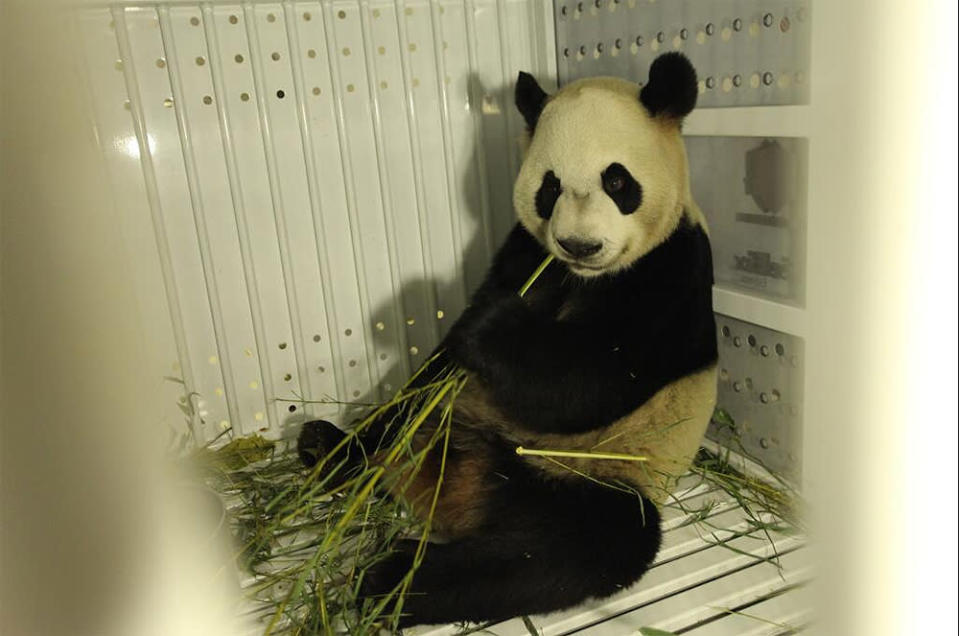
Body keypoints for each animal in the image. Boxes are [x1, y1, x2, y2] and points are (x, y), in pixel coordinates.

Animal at [296, 52, 716, 628]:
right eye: (550, 186)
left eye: (617, 181)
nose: (578, 244)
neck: (581, 277)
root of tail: (452, 486)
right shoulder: (524, 251)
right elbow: (460, 342)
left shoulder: (670, 274)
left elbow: (588, 383)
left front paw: (487, 327)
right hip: (445, 412)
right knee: (404, 410)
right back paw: (326, 447)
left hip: (588, 475)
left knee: (571, 548)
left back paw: (390, 577)